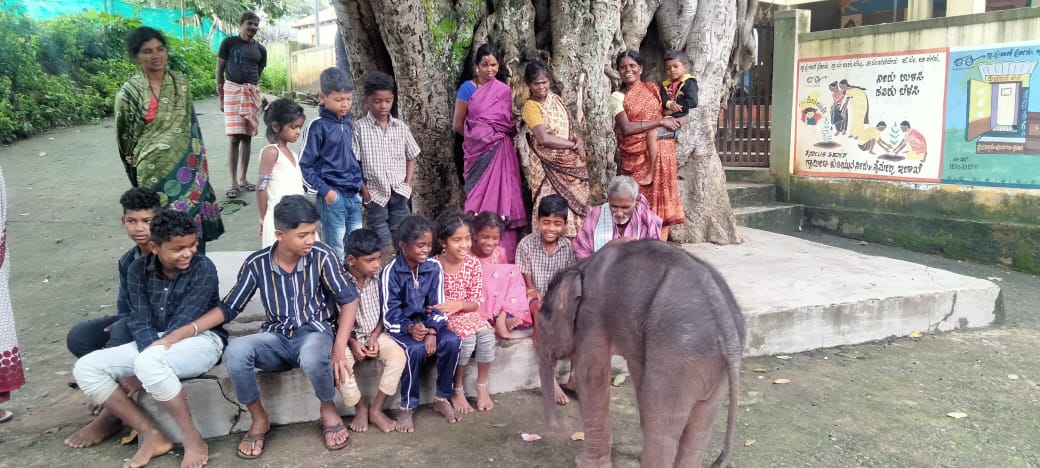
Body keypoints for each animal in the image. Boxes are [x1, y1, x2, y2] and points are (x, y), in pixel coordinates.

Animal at [536, 239, 748, 465]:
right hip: (714, 368)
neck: (580, 267)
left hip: (679, 358)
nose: (554, 427)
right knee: (699, 427)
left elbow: (592, 375)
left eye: (542, 324)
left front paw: (583, 464)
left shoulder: (592, 316)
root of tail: (725, 320)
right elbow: (636, 373)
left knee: (663, 423)